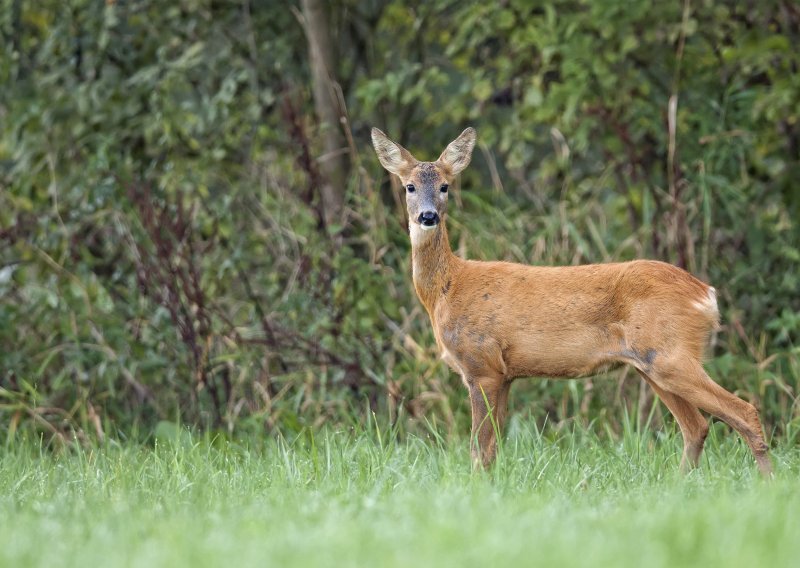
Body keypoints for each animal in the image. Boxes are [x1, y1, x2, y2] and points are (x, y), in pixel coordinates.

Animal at [372, 125, 772, 474]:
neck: (448, 288)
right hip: (653, 364)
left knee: (745, 412)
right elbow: (493, 448)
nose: (428, 216)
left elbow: (478, 448)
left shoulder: (481, 365)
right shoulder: (505, 373)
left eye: (445, 186)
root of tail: (706, 294)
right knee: (697, 427)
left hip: (670, 354)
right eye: (409, 186)